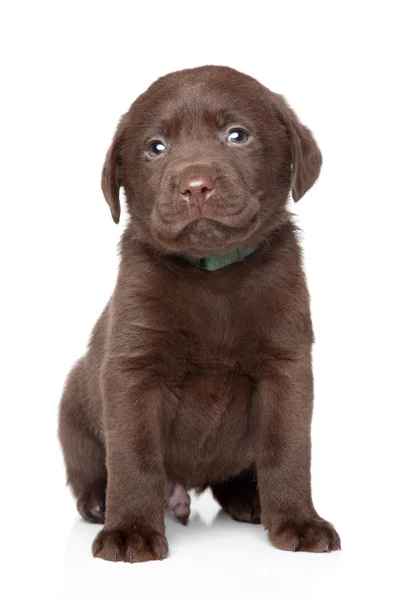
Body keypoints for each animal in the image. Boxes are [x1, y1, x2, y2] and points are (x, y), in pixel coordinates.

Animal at [58, 65, 340, 564]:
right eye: (156, 147)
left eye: (237, 135)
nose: (195, 187)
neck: (213, 276)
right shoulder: (133, 368)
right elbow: (134, 455)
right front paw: (129, 530)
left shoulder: (286, 367)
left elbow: (287, 449)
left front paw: (298, 521)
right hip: (72, 405)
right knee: (89, 466)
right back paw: (98, 502)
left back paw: (250, 498)